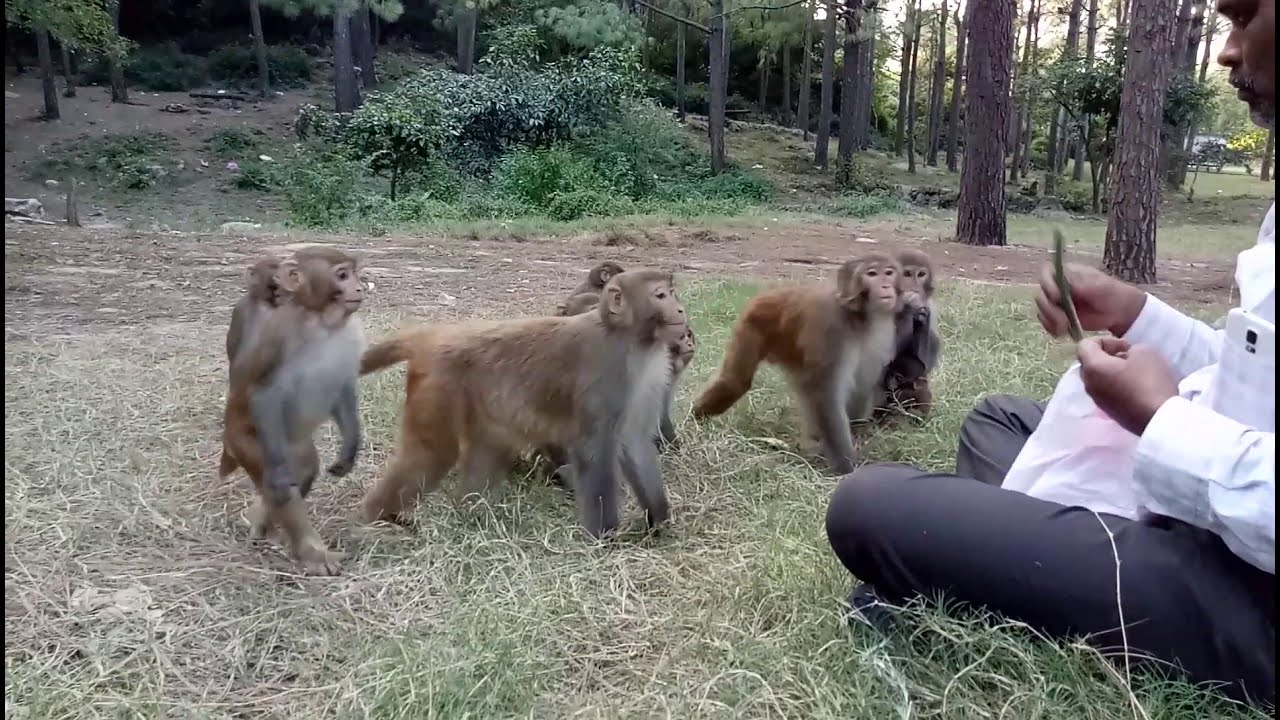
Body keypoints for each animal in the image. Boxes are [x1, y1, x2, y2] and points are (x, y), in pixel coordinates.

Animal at [218, 247, 366, 575]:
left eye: (355, 273)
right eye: (342, 275)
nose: (361, 287)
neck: (321, 322)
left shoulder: (351, 336)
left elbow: (342, 388)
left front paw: (349, 448)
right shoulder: (279, 335)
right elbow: (263, 393)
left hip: (294, 443)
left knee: (305, 470)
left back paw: (265, 525)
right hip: (248, 439)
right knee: (280, 485)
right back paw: (313, 553)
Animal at [357, 269, 687, 539]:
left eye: (672, 291)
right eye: (660, 295)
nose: (681, 308)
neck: (631, 340)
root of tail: (435, 336)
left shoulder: (647, 378)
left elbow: (635, 441)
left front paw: (658, 522)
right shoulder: (607, 374)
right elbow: (594, 448)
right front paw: (605, 538)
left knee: (487, 448)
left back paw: (470, 514)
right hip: (438, 388)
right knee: (432, 453)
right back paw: (376, 519)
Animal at [691, 254, 902, 474]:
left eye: (889, 273)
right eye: (872, 274)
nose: (886, 286)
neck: (857, 315)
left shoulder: (880, 334)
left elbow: (861, 386)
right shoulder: (831, 330)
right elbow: (825, 395)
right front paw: (847, 466)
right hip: (752, 324)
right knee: (735, 382)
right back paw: (695, 418)